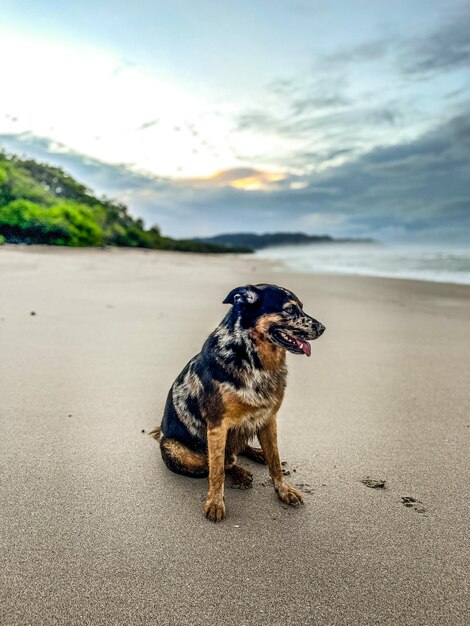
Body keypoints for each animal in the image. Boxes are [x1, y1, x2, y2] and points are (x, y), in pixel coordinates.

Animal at [149, 280, 324, 520]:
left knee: (239, 450)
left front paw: (283, 489)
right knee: (224, 461)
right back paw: (240, 473)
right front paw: (215, 502)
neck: (252, 359)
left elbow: (275, 461)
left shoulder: (268, 419)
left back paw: (257, 454)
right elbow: (217, 471)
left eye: (302, 307)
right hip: (174, 448)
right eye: (290, 309)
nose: (323, 328)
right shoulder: (217, 426)